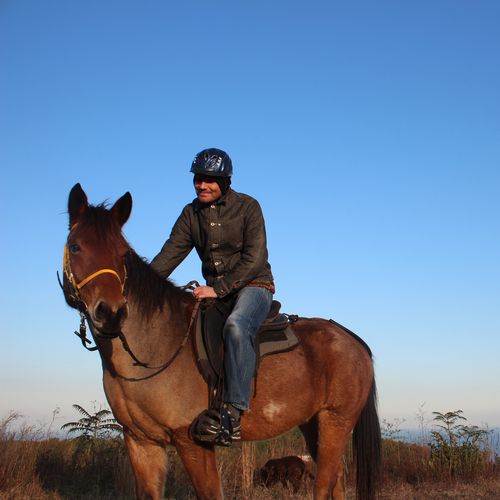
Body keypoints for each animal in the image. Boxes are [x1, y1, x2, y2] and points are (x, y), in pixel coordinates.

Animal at [60, 185, 380, 500]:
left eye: (123, 253)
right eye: (75, 247)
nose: (111, 313)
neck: (153, 347)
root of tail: (352, 340)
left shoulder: (192, 442)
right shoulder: (141, 442)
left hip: (336, 422)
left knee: (324, 485)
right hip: (314, 425)